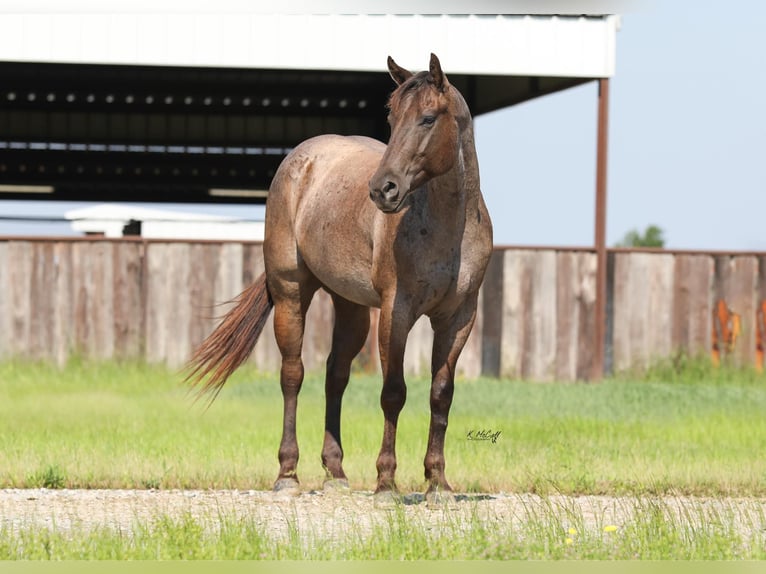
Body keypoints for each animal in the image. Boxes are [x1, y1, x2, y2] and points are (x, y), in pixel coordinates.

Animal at [189, 54, 496, 504]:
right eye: (391, 117)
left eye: (427, 118)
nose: (383, 189)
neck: (448, 226)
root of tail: (301, 158)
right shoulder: (396, 312)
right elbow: (393, 392)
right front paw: (386, 483)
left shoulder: (458, 318)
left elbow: (441, 394)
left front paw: (438, 483)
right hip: (291, 294)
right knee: (293, 375)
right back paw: (288, 474)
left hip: (350, 306)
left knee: (336, 374)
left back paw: (335, 472)